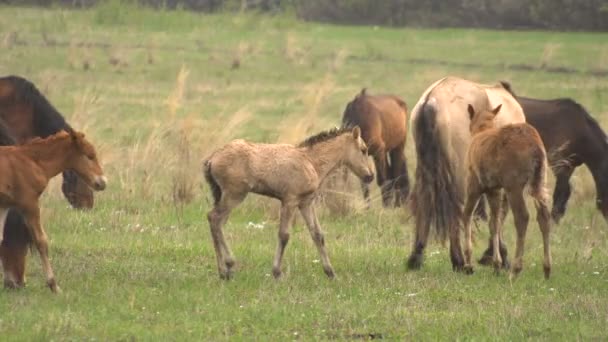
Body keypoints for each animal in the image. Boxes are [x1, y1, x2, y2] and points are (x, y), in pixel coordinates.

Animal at [0, 128, 106, 292]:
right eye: (90, 155)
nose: (103, 182)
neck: (32, 161)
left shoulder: (4, 205)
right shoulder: (29, 203)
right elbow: (41, 241)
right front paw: (53, 285)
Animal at [205, 127, 376, 280]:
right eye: (363, 149)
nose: (370, 176)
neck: (311, 161)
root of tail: (212, 158)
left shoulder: (306, 203)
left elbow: (318, 235)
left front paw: (331, 273)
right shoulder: (290, 200)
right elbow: (284, 235)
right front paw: (277, 273)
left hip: (226, 196)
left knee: (216, 222)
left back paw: (224, 271)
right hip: (234, 195)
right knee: (215, 219)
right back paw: (228, 265)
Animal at [406, 76, 524, 272]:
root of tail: (431, 101)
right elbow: (498, 214)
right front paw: (498, 257)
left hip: (426, 170)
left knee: (425, 202)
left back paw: (416, 258)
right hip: (460, 175)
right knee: (459, 209)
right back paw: (460, 261)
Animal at [464, 103, 552, 278]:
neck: (481, 130)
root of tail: (536, 149)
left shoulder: (474, 184)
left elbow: (467, 215)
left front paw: (468, 263)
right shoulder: (495, 189)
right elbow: (494, 222)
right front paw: (496, 264)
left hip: (514, 186)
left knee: (522, 217)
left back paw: (515, 270)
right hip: (540, 180)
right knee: (544, 216)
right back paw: (547, 269)